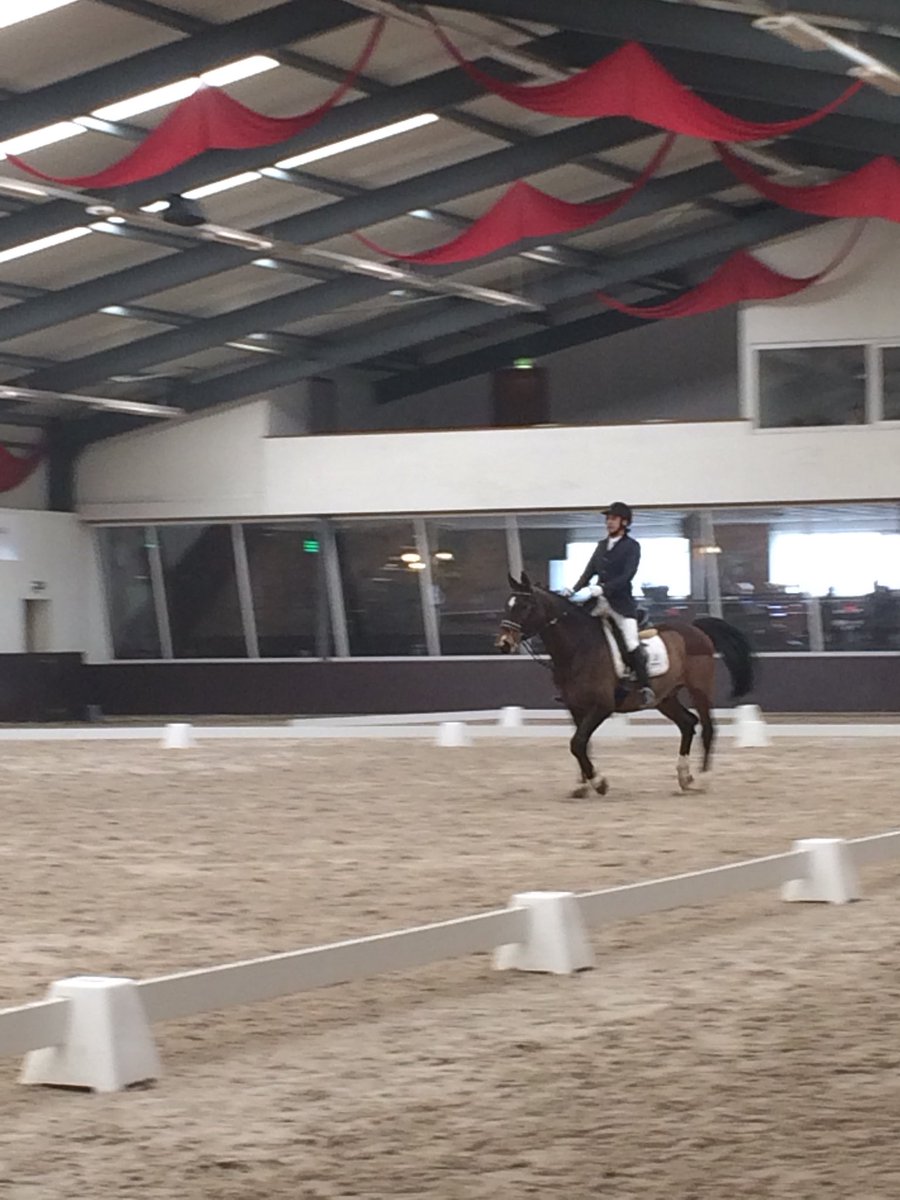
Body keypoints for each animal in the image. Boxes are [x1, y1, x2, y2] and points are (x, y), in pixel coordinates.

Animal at [496, 573, 755, 798]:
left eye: (526, 607)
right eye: (508, 605)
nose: (504, 644)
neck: (579, 648)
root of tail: (695, 628)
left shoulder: (602, 706)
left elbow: (577, 743)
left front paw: (599, 783)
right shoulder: (576, 707)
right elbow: (582, 744)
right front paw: (584, 785)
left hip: (699, 688)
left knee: (708, 727)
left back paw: (703, 779)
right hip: (664, 698)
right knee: (688, 723)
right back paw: (685, 778)